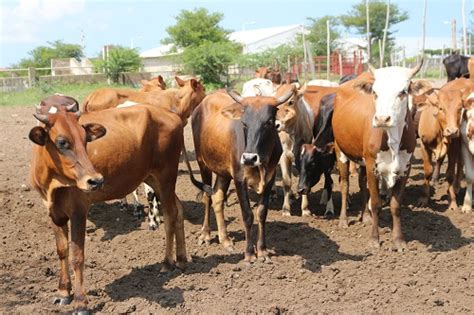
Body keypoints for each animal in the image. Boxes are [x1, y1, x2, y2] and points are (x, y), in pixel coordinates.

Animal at [28, 103, 189, 314]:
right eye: (62, 142)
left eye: (85, 139)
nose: (96, 180)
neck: (53, 183)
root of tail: (172, 115)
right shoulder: (54, 212)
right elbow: (62, 250)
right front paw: (63, 292)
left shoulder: (79, 209)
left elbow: (77, 256)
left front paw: (81, 302)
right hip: (152, 178)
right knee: (179, 210)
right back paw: (181, 259)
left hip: (166, 175)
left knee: (171, 214)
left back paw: (167, 262)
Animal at [192, 89, 292, 262]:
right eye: (244, 123)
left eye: (268, 122)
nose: (249, 158)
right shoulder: (239, 180)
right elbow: (247, 215)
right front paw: (249, 253)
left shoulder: (270, 178)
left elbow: (261, 213)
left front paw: (262, 251)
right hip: (202, 163)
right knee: (207, 197)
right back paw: (205, 234)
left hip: (223, 172)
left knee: (217, 198)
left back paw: (225, 240)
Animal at [334, 64, 422, 252]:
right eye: (375, 92)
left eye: (403, 92)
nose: (382, 119)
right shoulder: (372, 165)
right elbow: (375, 203)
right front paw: (374, 240)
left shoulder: (405, 167)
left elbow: (395, 205)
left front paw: (399, 240)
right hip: (341, 151)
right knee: (344, 185)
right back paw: (343, 220)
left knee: (361, 184)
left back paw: (366, 217)